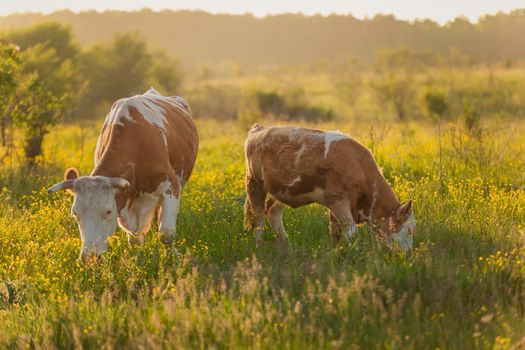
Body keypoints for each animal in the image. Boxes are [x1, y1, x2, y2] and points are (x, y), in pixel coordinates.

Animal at [48, 89, 199, 262]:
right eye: (75, 213)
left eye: (108, 211)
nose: (90, 256)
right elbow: (134, 239)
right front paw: (138, 261)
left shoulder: (171, 186)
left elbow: (166, 234)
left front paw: (171, 259)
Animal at [244, 124, 416, 250]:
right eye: (409, 230)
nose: (407, 255)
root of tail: (259, 129)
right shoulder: (338, 200)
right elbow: (351, 232)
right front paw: (356, 254)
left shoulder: (335, 205)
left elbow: (335, 232)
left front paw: (334, 254)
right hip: (254, 183)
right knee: (258, 217)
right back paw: (260, 247)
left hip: (282, 190)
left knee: (272, 210)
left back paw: (286, 246)